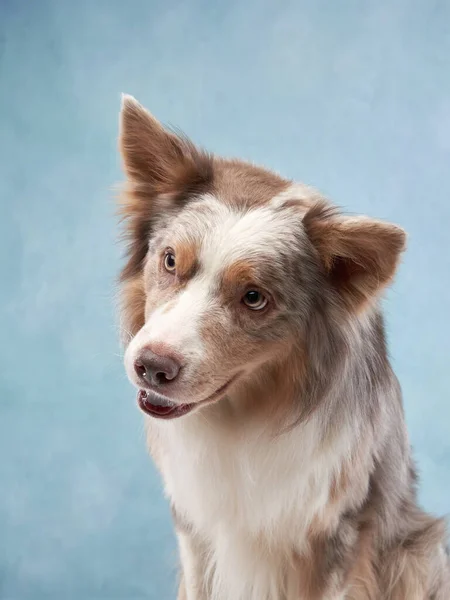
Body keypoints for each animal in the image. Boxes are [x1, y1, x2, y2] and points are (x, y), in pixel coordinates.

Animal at [118, 96, 448, 596]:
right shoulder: (194, 526)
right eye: (170, 260)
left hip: (419, 551)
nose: (151, 367)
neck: (245, 417)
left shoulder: (338, 530)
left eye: (254, 297)